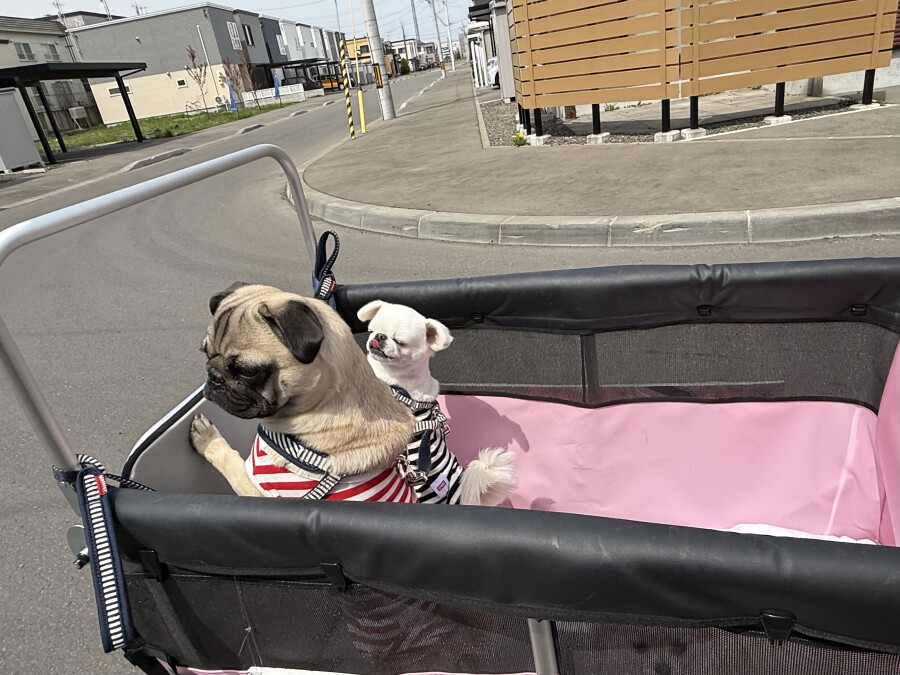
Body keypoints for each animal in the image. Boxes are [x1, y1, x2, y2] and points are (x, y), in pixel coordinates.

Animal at [189, 283, 417, 502]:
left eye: (248, 372)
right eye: (205, 352)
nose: (214, 376)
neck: (321, 403)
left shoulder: (258, 487)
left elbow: (230, 461)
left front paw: (208, 439)